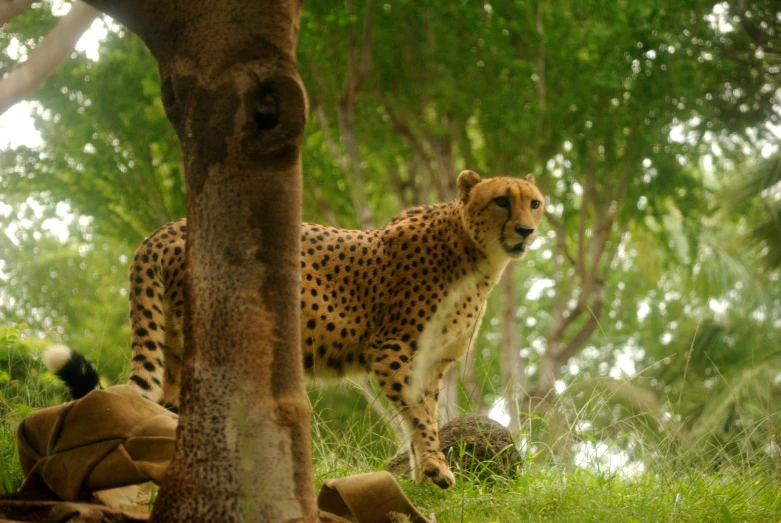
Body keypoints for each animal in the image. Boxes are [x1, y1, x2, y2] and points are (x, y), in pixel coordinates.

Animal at [47, 170, 544, 490]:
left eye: (534, 202)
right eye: (501, 199)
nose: (526, 230)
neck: (474, 251)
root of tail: (166, 227)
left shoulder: (431, 361)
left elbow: (421, 414)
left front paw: (423, 473)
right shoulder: (394, 350)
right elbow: (420, 415)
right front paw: (437, 471)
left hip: (173, 343)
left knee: (165, 405)